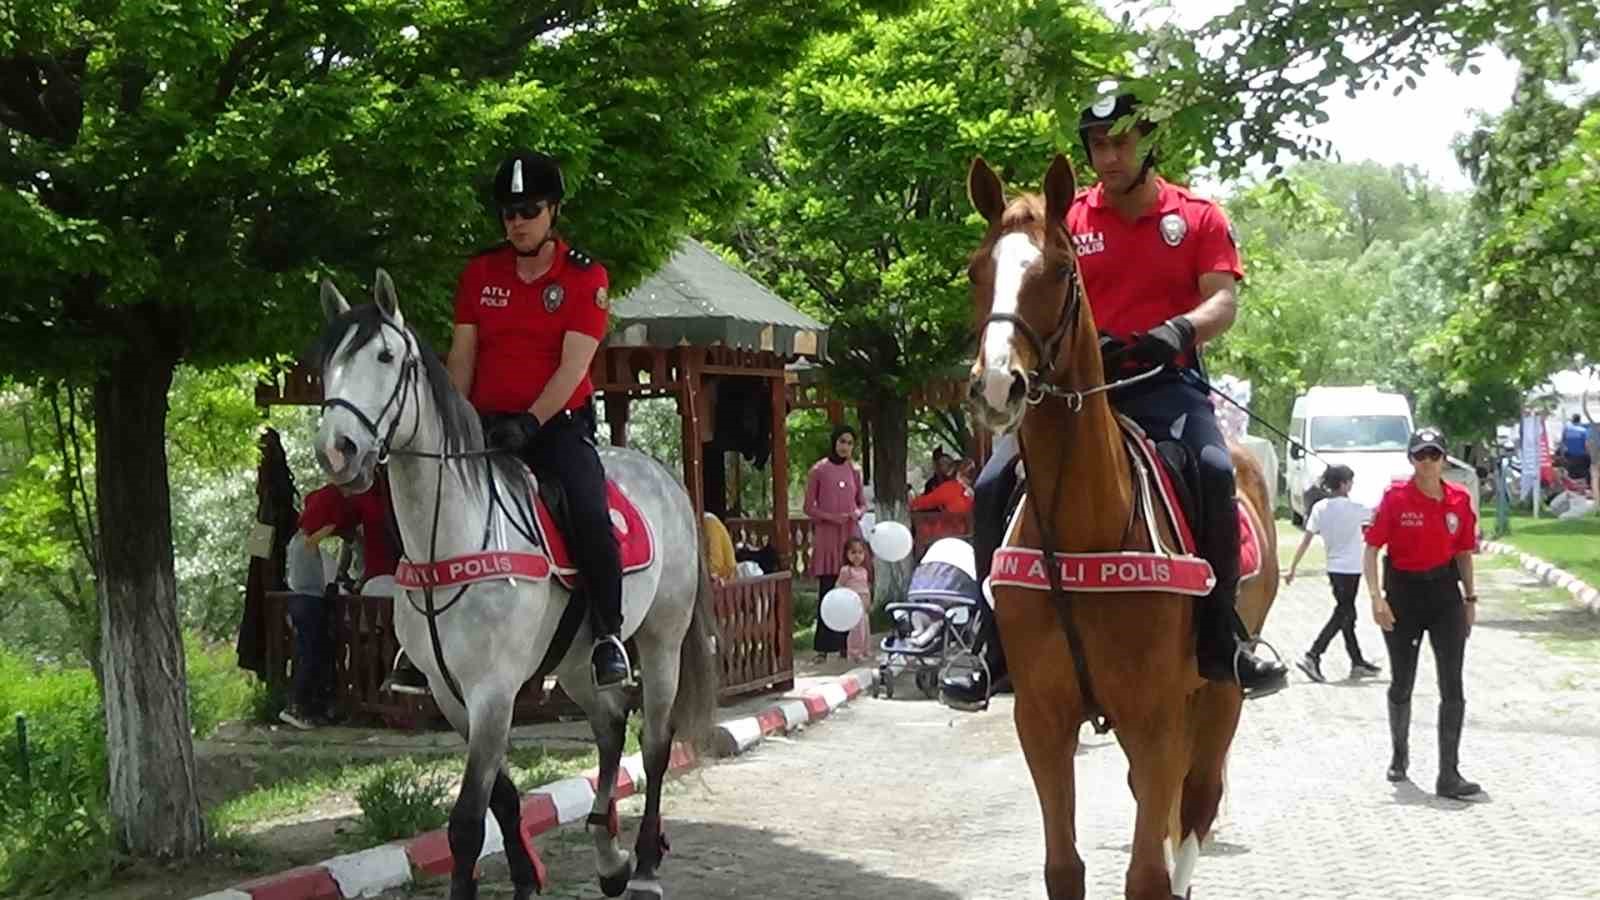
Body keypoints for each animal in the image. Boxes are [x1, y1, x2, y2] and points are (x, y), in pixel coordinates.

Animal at [312, 269, 713, 890]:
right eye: (326, 362)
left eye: (385, 356)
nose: (338, 450)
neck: (454, 530)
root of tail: (664, 476)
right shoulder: (450, 693)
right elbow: (499, 798)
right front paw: (526, 876)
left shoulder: (494, 691)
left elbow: (466, 823)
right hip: (575, 661)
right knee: (610, 727)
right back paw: (608, 855)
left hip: (661, 642)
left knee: (654, 744)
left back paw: (644, 862)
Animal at [960, 150, 1273, 890]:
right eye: (977, 270)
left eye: (1059, 271)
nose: (996, 385)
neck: (1083, 526)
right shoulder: (1041, 719)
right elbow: (1063, 867)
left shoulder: (1156, 718)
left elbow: (1148, 876)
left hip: (1218, 700)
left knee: (1199, 802)